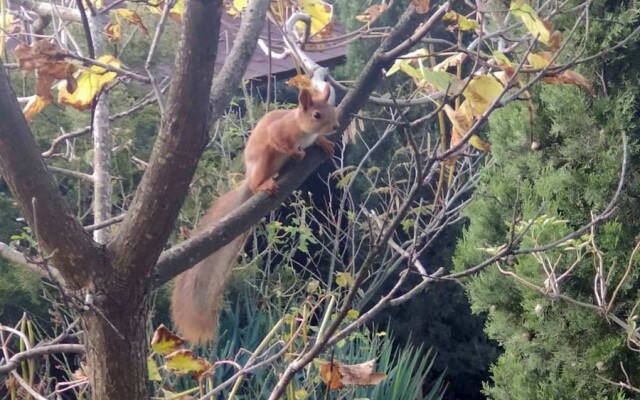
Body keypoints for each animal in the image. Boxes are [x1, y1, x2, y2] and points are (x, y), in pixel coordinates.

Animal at [170, 84, 340, 344]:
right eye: (317, 115)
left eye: (332, 108)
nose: (335, 127)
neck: (300, 128)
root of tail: (249, 179)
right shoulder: (279, 131)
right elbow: (280, 140)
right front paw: (297, 152)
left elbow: (316, 141)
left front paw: (323, 142)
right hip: (265, 160)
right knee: (260, 176)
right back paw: (264, 184)